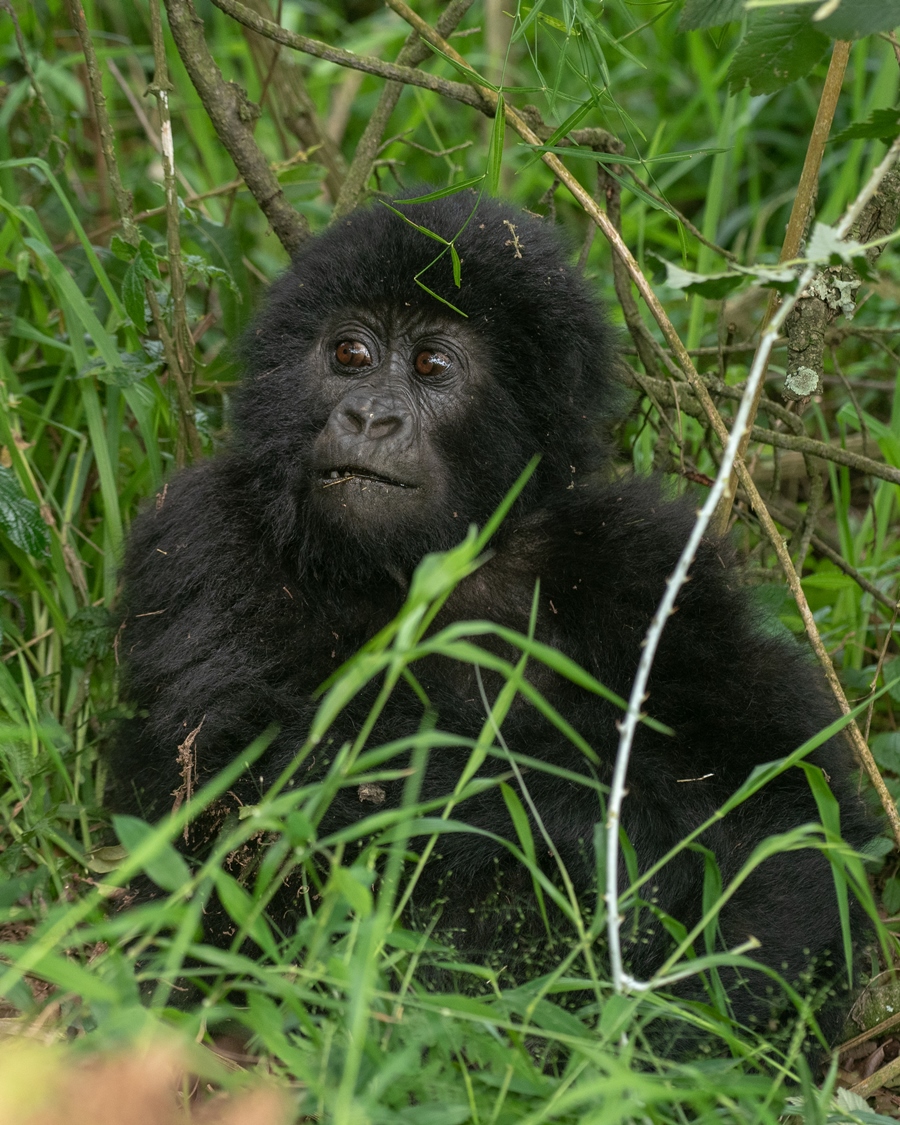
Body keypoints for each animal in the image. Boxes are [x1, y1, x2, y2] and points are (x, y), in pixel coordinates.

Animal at [110, 189, 864, 1039]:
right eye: (350, 355)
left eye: (432, 366)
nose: (369, 417)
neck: (427, 565)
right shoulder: (200, 536)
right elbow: (225, 784)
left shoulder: (646, 559)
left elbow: (783, 794)